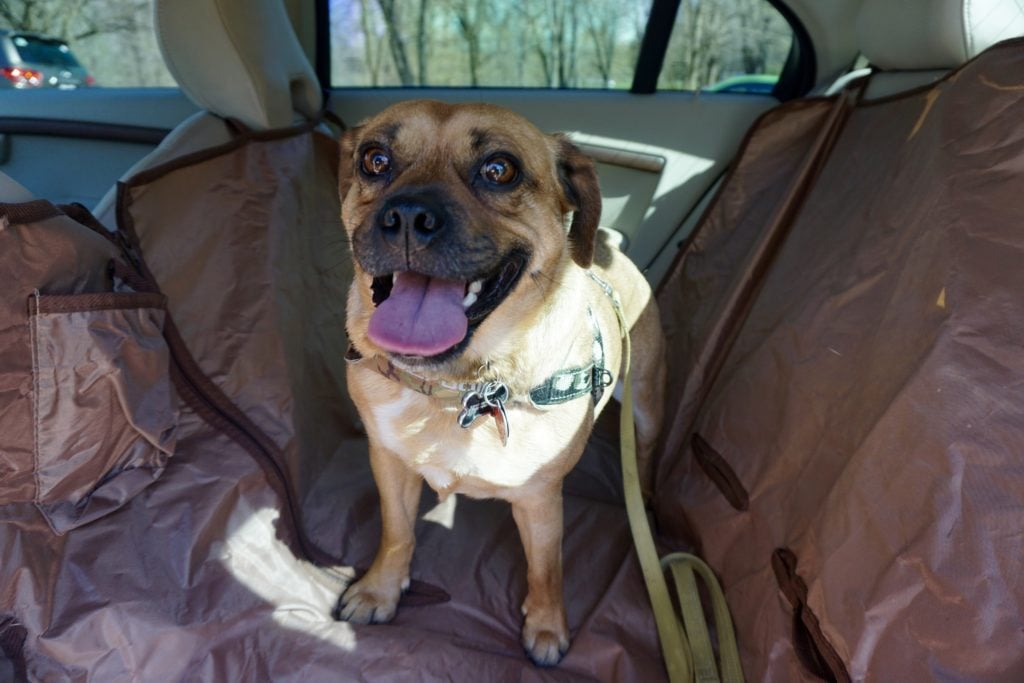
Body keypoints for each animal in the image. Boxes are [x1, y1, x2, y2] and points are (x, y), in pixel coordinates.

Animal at [339, 101, 667, 667]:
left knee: (642, 451)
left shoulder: (539, 500)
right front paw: (380, 590)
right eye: (374, 160)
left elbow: (546, 569)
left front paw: (547, 627)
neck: (457, 390)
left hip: (645, 402)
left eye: (499, 169)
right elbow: (397, 532)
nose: (406, 218)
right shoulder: (390, 466)